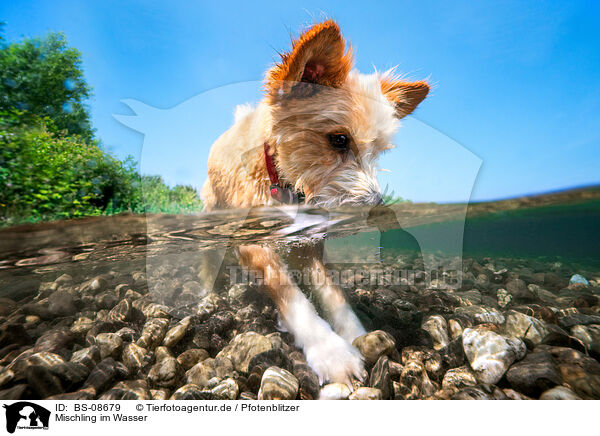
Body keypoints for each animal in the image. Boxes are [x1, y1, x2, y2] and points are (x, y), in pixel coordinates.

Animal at [204, 20, 428, 386]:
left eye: (377, 152)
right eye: (339, 140)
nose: (377, 207)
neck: (280, 178)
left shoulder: (309, 247)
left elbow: (332, 295)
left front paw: (356, 335)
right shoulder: (254, 243)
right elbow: (292, 297)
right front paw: (331, 351)